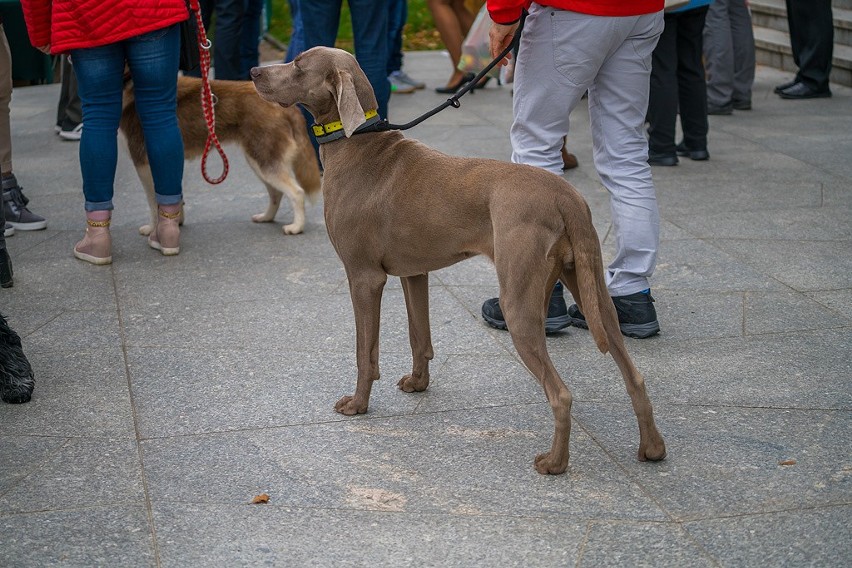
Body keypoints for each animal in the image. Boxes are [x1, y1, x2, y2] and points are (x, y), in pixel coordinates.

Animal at [118, 75, 322, 235]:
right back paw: (266, 217)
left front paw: (154, 229)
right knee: (276, 193)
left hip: (264, 161)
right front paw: (177, 221)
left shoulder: (144, 163)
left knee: (296, 192)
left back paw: (296, 227)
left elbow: (153, 201)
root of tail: (287, 106)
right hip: (257, 160)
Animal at [251, 47, 664, 474]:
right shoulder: (414, 273)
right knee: (634, 374)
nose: (252, 72)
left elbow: (366, 351)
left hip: (518, 300)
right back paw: (651, 449)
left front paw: (358, 404)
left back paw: (554, 462)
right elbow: (419, 336)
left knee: (561, 393)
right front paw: (418, 384)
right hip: (591, 287)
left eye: (299, 65)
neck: (358, 143)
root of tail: (566, 195)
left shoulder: (363, 277)